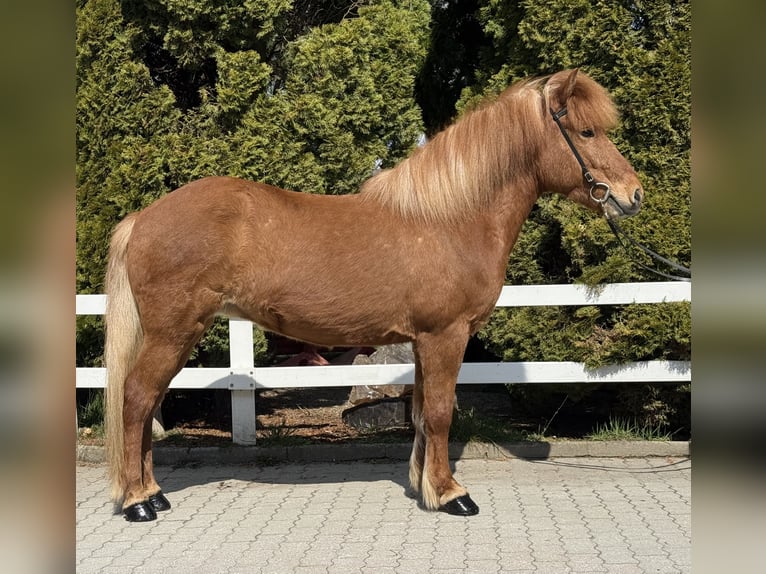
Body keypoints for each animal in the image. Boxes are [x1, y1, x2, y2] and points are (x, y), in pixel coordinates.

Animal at [104, 69, 644, 522]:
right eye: (587, 132)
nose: (633, 194)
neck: (449, 218)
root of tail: (143, 219)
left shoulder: (424, 342)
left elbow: (422, 414)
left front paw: (425, 487)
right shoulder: (446, 337)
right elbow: (442, 414)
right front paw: (452, 494)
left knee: (146, 406)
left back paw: (153, 494)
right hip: (174, 333)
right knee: (136, 399)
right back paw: (138, 503)